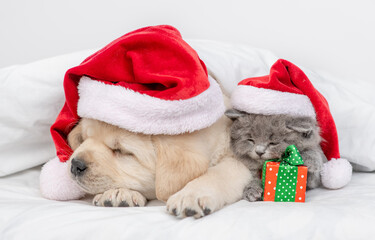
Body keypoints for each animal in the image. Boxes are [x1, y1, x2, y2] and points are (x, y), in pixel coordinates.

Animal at [67, 112, 251, 218]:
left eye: (121, 151)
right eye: (84, 139)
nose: (75, 165)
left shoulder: (240, 160)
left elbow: (217, 173)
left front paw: (190, 194)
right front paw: (119, 193)